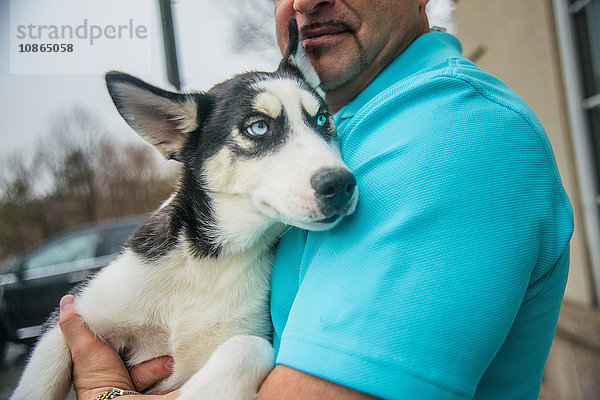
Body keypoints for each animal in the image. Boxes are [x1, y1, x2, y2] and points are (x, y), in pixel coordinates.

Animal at [11, 18, 356, 400]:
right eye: (258, 127)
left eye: (322, 119)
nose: (341, 185)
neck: (210, 263)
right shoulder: (71, 315)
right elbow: (36, 384)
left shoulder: (244, 337)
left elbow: (247, 347)